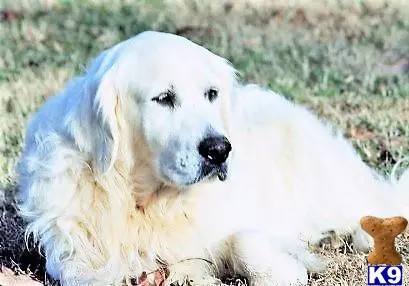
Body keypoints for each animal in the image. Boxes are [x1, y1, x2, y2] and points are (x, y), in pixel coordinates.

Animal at [16, 30, 408, 284]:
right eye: (163, 98)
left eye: (211, 93)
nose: (219, 150)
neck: (148, 205)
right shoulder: (77, 261)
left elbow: (244, 238)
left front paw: (286, 268)